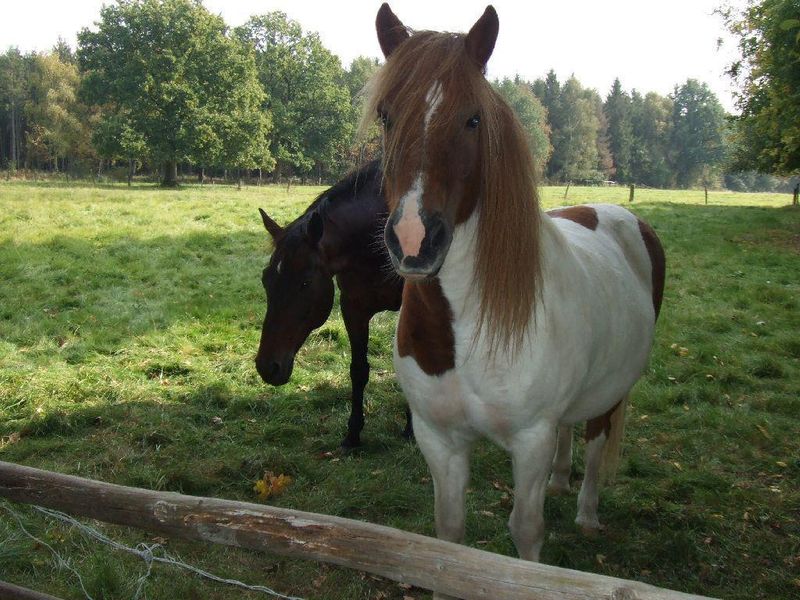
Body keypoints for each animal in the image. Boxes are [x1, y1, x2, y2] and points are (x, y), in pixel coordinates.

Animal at [255, 162, 406, 448]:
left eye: (305, 283)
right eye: (265, 279)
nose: (267, 368)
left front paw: (412, 430)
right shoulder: (353, 308)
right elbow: (358, 370)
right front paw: (353, 435)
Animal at [366, 4, 664, 576]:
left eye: (473, 119)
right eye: (387, 115)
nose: (413, 239)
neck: (463, 329)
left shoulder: (529, 442)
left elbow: (526, 533)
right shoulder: (439, 440)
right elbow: (448, 535)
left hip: (613, 392)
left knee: (596, 437)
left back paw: (587, 511)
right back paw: (563, 480)